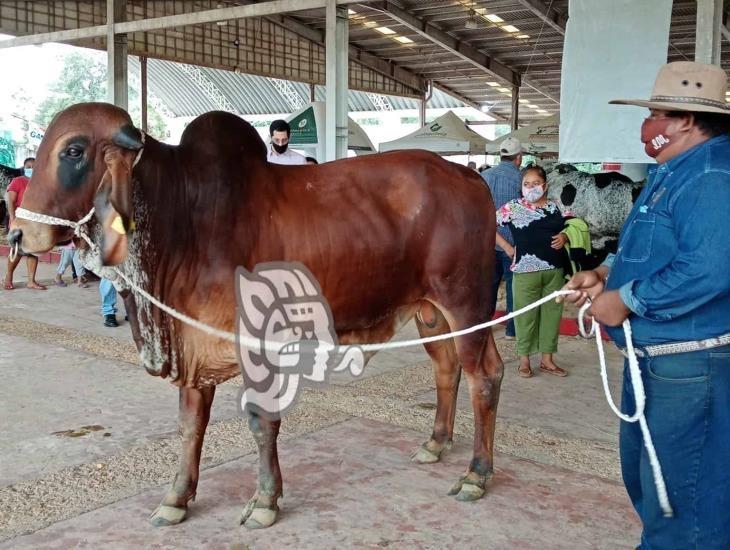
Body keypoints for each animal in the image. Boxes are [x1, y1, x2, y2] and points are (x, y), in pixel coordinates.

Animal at [11, 103, 504, 532]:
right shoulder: (193, 342)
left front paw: (265, 500)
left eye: (74, 150)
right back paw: (436, 442)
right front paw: (176, 498)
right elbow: (191, 424)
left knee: (484, 376)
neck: (184, 216)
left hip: (466, 303)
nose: (16, 233)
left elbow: (260, 420)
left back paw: (476, 474)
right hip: (429, 312)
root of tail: (468, 177)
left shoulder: (255, 343)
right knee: (447, 369)